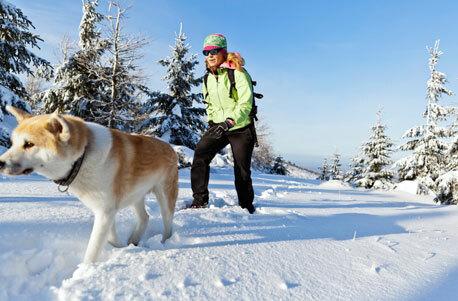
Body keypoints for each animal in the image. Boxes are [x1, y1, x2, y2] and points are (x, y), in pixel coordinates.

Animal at [0, 106, 178, 262]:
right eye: (13, 143)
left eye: (29, 144)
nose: (0, 163)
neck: (82, 158)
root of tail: (170, 146)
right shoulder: (105, 211)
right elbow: (111, 238)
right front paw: (120, 249)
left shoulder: (105, 212)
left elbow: (92, 250)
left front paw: (85, 271)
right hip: (136, 196)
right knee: (145, 217)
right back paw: (133, 241)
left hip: (165, 197)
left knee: (168, 224)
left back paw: (164, 243)